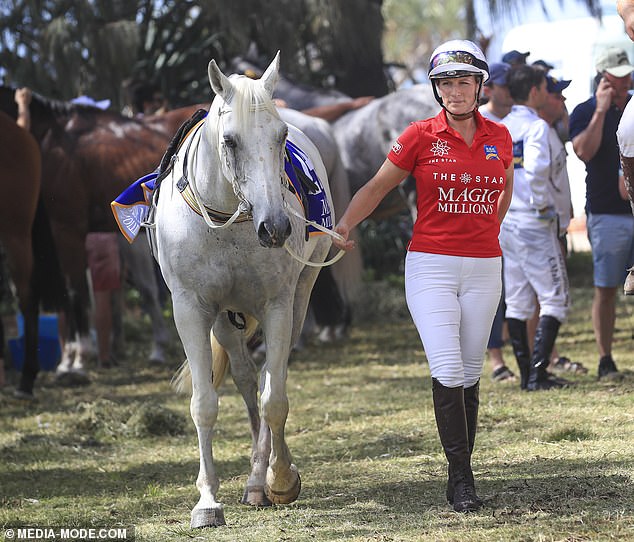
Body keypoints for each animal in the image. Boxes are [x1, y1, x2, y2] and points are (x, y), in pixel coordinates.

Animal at [154, 53, 336, 528]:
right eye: (230, 140)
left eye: (281, 137)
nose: (275, 227)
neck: (227, 223)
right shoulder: (191, 310)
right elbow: (205, 403)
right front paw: (206, 502)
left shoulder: (278, 306)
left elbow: (276, 400)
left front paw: (281, 478)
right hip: (223, 319)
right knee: (245, 377)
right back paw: (253, 480)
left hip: (299, 299)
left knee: (273, 377)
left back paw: (262, 480)